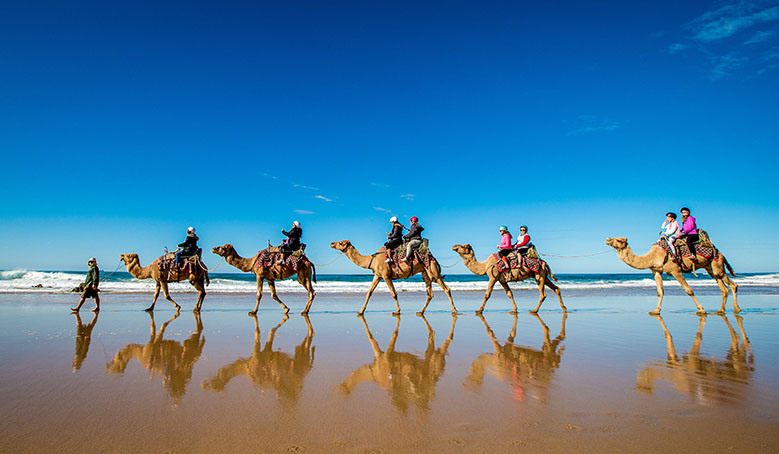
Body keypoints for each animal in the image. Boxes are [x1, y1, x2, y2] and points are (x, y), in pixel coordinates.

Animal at [330, 241, 458, 316]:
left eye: (341, 243)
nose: (332, 243)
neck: (372, 260)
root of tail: (433, 258)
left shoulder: (386, 275)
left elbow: (394, 293)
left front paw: (397, 311)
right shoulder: (377, 275)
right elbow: (369, 292)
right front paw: (360, 311)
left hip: (433, 271)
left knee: (446, 289)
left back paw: (455, 310)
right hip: (425, 272)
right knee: (430, 293)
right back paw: (420, 311)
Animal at [608, 236, 740, 314]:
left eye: (619, 240)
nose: (608, 239)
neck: (653, 256)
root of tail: (720, 253)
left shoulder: (675, 270)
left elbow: (689, 290)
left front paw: (701, 309)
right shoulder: (656, 271)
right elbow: (660, 292)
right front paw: (656, 310)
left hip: (717, 265)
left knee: (732, 285)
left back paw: (736, 309)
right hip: (710, 268)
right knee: (723, 288)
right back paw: (721, 310)